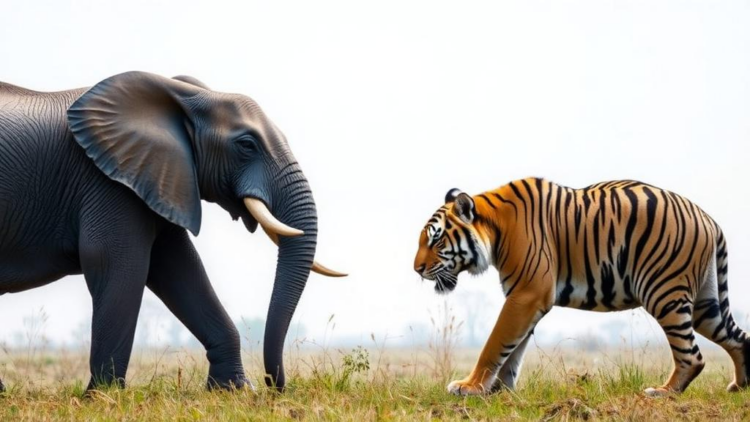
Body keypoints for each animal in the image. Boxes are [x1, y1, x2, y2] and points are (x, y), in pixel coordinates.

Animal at [0, 71, 345, 392]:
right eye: (247, 145)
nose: (275, 388)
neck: (183, 96)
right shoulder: (107, 181)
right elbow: (118, 262)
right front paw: (103, 398)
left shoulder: (160, 177)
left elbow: (178, 267)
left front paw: (233, 391)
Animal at [413, 178, 749, 397]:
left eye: (436, 240)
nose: (416, 269)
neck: (496, 228)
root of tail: (708, 220)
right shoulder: (524, 298)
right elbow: (512, 349)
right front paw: (499, 389)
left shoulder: (527, 294)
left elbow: (495, 343)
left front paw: (470, 387)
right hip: (705, 305)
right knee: (738, 338)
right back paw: (740, 386)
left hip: (665, 293)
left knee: (693, 356)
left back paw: (663, 392)